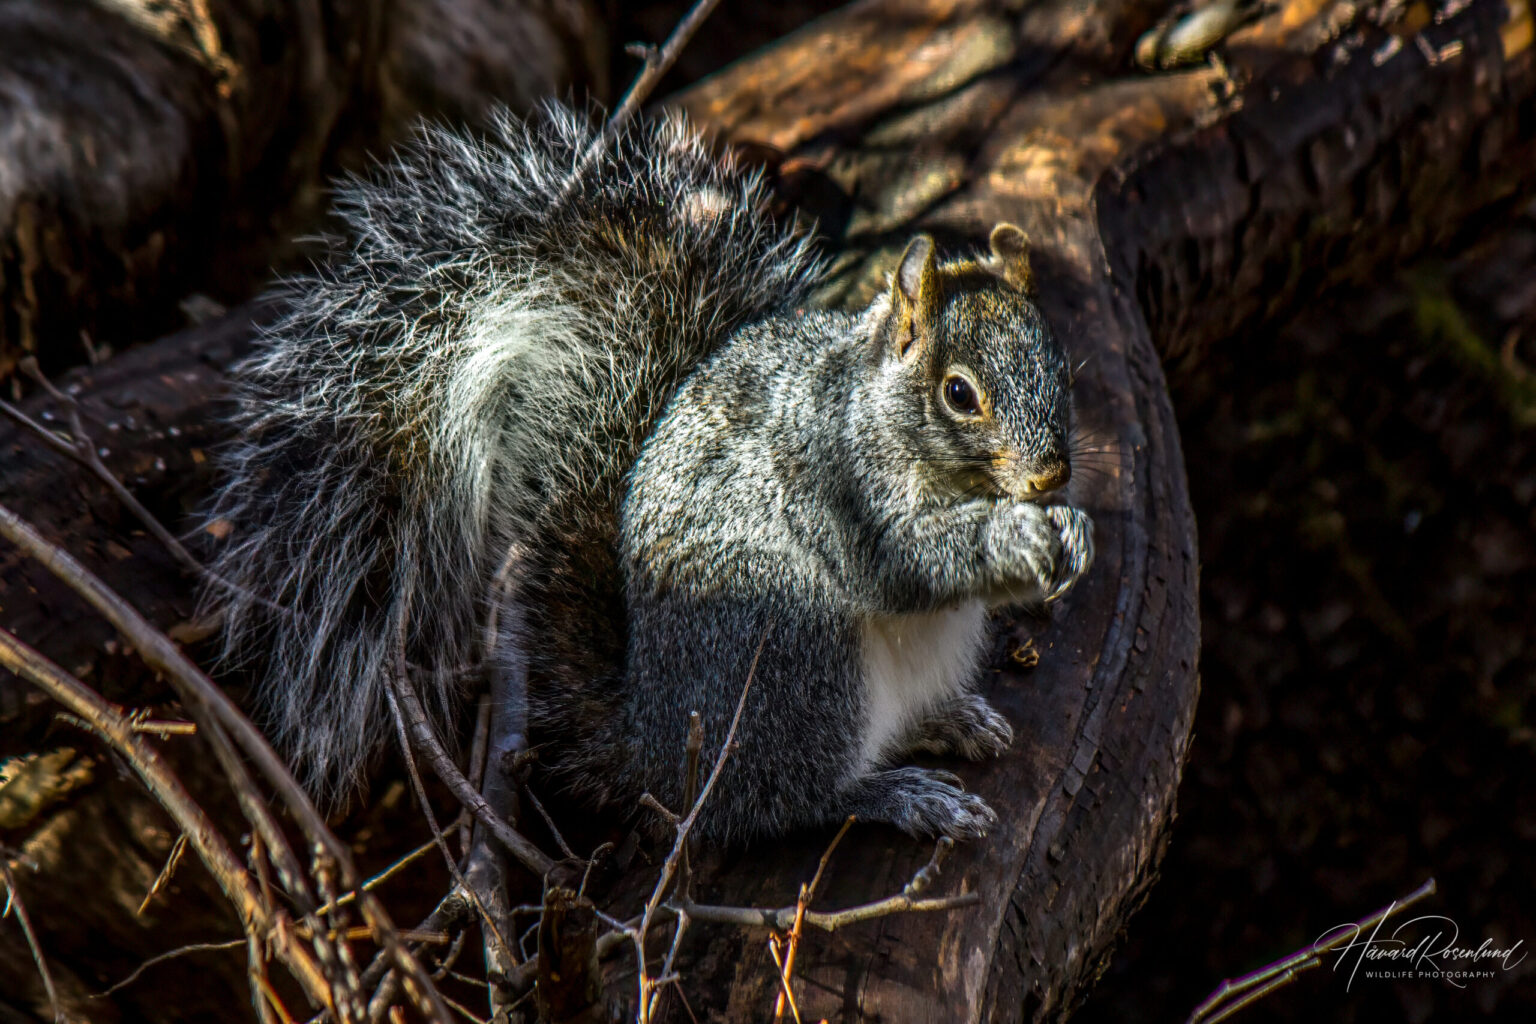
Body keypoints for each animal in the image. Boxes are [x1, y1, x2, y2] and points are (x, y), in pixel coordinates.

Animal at [204, 103, 1094, 844]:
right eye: (959, 394)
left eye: (1061, 367)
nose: (1049, 477)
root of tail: (654, 747)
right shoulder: (834, 484)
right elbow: (903, 560)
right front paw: (1014, 537)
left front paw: (1073, 533)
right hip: (794, 661)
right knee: (773, 802)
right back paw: (894, 796)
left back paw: (947, 723)